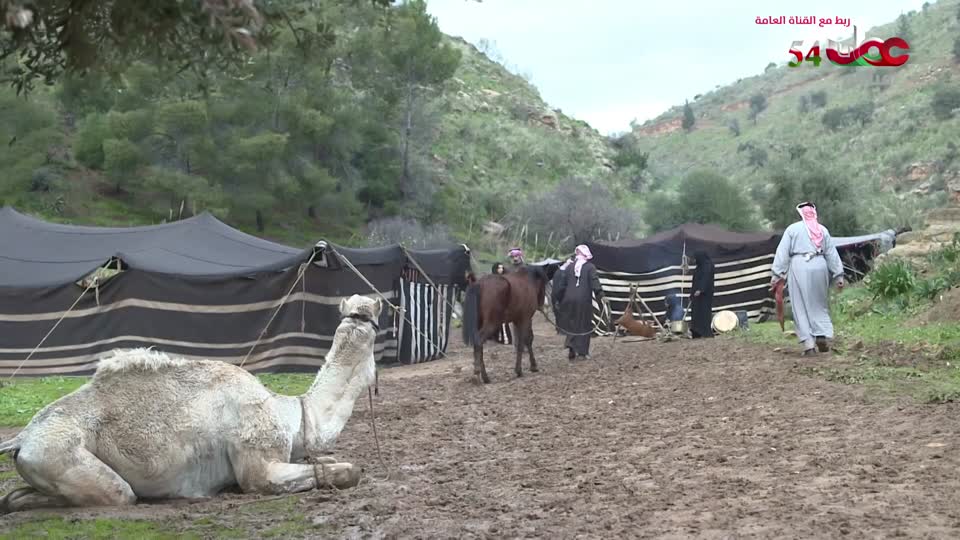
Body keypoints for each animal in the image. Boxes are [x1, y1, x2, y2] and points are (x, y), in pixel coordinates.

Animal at [0, 294, 382, 512]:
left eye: (366, 317)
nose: (365, 309)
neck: (294, 414)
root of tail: (21, 439)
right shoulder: (259, 466)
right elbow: (350, 471)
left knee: (17, 496)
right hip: (62, 455)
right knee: (118, 495)